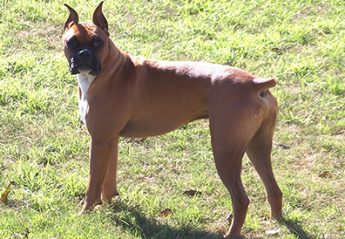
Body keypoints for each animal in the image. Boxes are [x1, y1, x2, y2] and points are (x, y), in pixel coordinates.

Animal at [61, 1, 282, 237]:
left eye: (98, 42)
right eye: (72, 42)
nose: (84, 54)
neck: (108, 70)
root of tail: (255, 83)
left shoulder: (100, 141)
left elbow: (93, 182)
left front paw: (85, 212)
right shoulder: (110, 140)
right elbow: (108, 178)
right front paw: (109, 204)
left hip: (226, 152)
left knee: (241, 200)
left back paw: (231, 233)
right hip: (257, 147)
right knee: (273, 188)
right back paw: (277, 222)